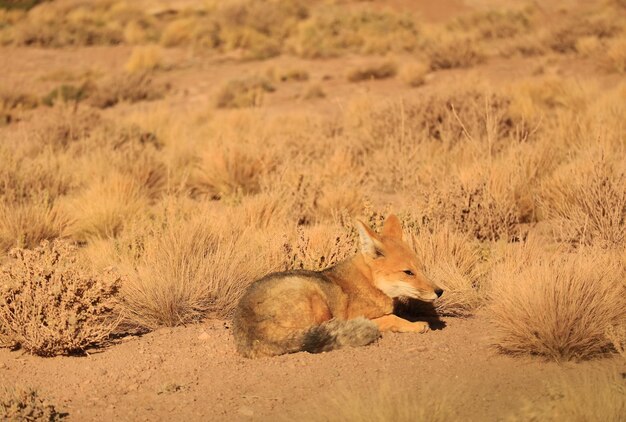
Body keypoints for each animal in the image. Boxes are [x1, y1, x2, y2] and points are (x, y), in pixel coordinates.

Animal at [232, 216, 442, 358]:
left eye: (422, 268)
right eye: (408, 272)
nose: (440, 292)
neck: (368, 282)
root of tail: (247, 323)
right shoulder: (360, 315)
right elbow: (392, 318)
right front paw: (416, 325)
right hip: (315, 296)